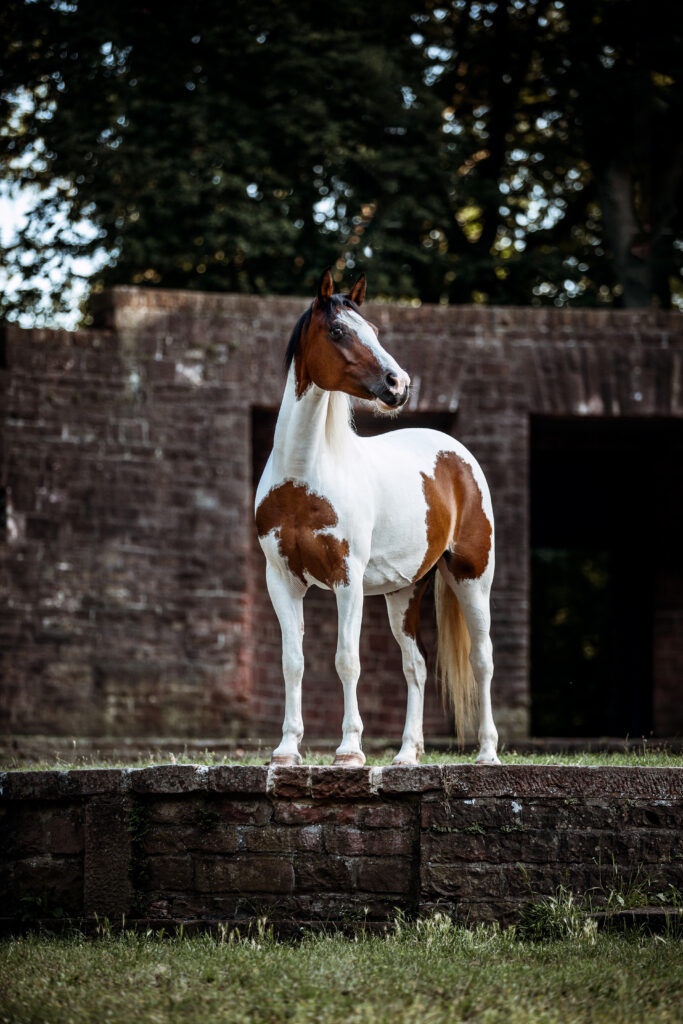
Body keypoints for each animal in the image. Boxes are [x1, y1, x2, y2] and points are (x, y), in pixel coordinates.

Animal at [253, 268, 499, 765]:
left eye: (375, 330)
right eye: (338, 330)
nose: (398, 383)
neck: (302, 477)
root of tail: (457, 456)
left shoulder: (347, 578)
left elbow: (346, 659)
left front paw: (349, 750)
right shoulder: (281, 580)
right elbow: (293, 662)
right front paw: (287, 750)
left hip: (472, 577)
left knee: (482, 660)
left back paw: (487, 753)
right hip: (404, 591)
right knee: (416, 665)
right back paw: (407, 754)